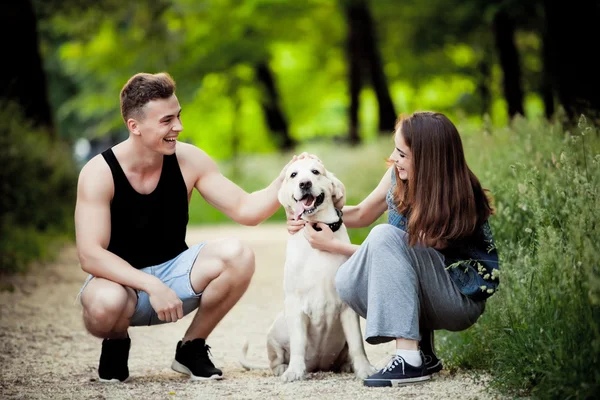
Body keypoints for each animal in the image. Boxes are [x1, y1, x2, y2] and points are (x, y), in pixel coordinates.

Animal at [240, 158, 376, 382]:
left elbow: (357, 343)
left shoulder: (347, 308)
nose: (305, 183)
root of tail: (318, 366)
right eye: (293, 175)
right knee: (276, 358)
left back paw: (347, 365)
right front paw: (294, 371)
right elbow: (298, 344)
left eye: (316, 172)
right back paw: (283, 368)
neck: (317, 227)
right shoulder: (295, 305)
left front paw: (364, 369)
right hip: (275, 330)